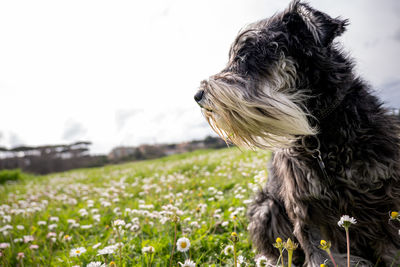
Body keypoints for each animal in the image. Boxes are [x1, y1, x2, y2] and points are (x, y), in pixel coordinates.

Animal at [194, 1, 400, 266]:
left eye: (246, 55)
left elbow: (390, 244)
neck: (323, 132)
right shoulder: (307, 206)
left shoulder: (384, 193)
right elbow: (319, 251)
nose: (198, 96)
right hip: (266, 206)